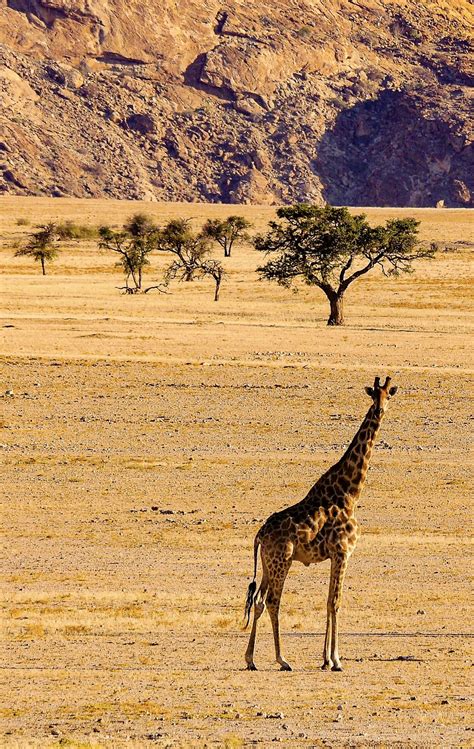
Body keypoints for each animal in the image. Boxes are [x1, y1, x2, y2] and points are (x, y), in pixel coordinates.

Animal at [244, 374, 396, 672]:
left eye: (388, 395)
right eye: (374, 394)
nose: (379, 410)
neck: (351, 492)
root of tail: (259, 534)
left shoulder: (334, 556)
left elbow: (328, 601)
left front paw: (326, 659)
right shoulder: (343, 552)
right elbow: (335, 602)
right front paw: (335, 660)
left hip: (267, 564)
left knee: (258, 600)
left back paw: (251, 659)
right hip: (282, 561)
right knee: (273, 601)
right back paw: (282, 659)